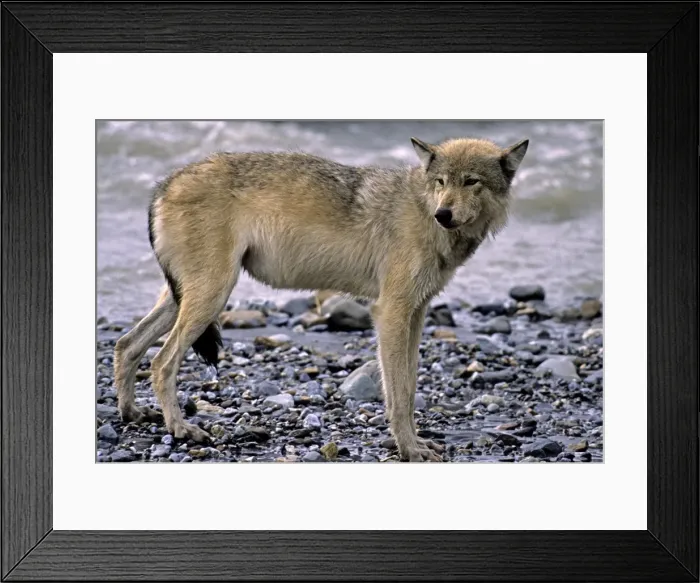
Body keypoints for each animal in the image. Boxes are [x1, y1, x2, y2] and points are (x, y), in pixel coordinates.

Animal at [113, 135, 528, 461]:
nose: (444, 213)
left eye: (471, 181)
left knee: (126, 344)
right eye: (441, 181)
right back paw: (182, 430)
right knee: (161, 362)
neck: (424, 211)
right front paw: (410, 450)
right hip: (210, 297)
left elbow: (409, 388)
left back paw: (132, 414)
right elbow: (397, 394)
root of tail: (164, 183)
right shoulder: (391, 312)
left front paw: (415, 444)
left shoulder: (416, 314)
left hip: (186, 298)